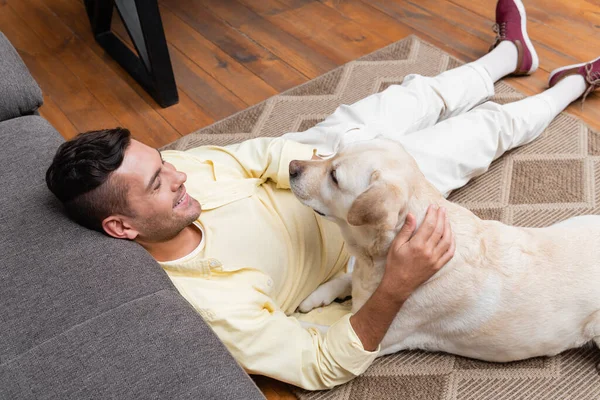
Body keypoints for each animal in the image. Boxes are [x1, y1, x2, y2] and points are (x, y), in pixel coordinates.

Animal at [288, 136, 600, 364]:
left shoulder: (377, 340)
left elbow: (319, 330)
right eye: (333, 153)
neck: (379, 253)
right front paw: (316, 296)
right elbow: (346, 278)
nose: (291, 166)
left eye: (335, 177)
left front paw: (297, 321)